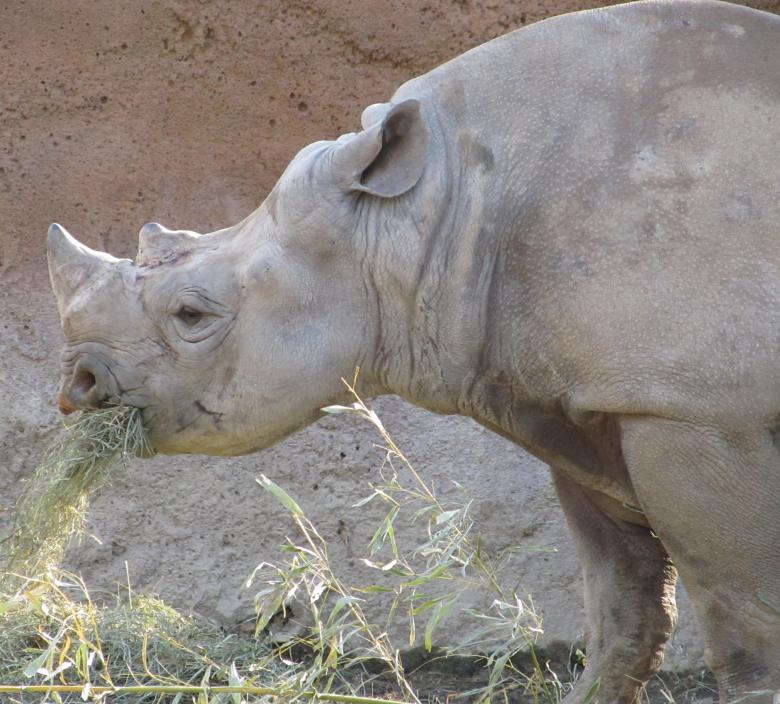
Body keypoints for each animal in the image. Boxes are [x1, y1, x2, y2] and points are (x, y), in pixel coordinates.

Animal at [46, 0, 780, 701]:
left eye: (192, 314)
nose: (77, 384)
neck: (424, 213)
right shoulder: (588, 405)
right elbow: (622, 608)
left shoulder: (692, 410)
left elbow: (742, 619)